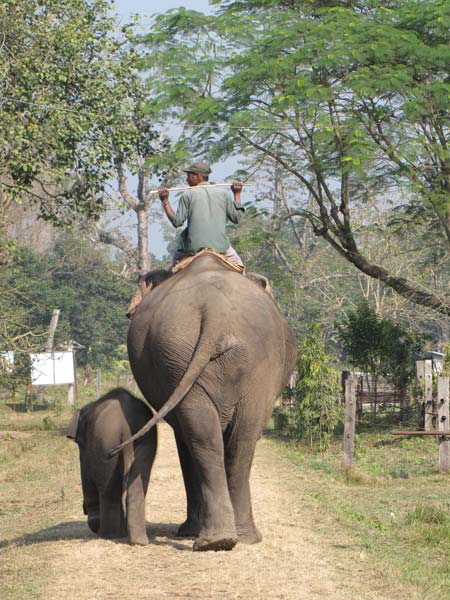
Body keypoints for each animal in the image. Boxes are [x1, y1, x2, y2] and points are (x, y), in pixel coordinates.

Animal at [66, 386, 158, 548]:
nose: (83, 509)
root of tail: (125, 427)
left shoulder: (87, 449)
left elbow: (87, 477)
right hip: (145, 440)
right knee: (138, 482)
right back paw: (138, 540)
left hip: (106, 442)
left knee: (108, 491)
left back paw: (109, 535)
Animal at [110, 251, 298, 552]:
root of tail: (216, 314)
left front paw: (188, 531)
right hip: (219, 358)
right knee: (234, 438)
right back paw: (228, 538)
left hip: (187, 354)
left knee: (210, 437)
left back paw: (219, 538)